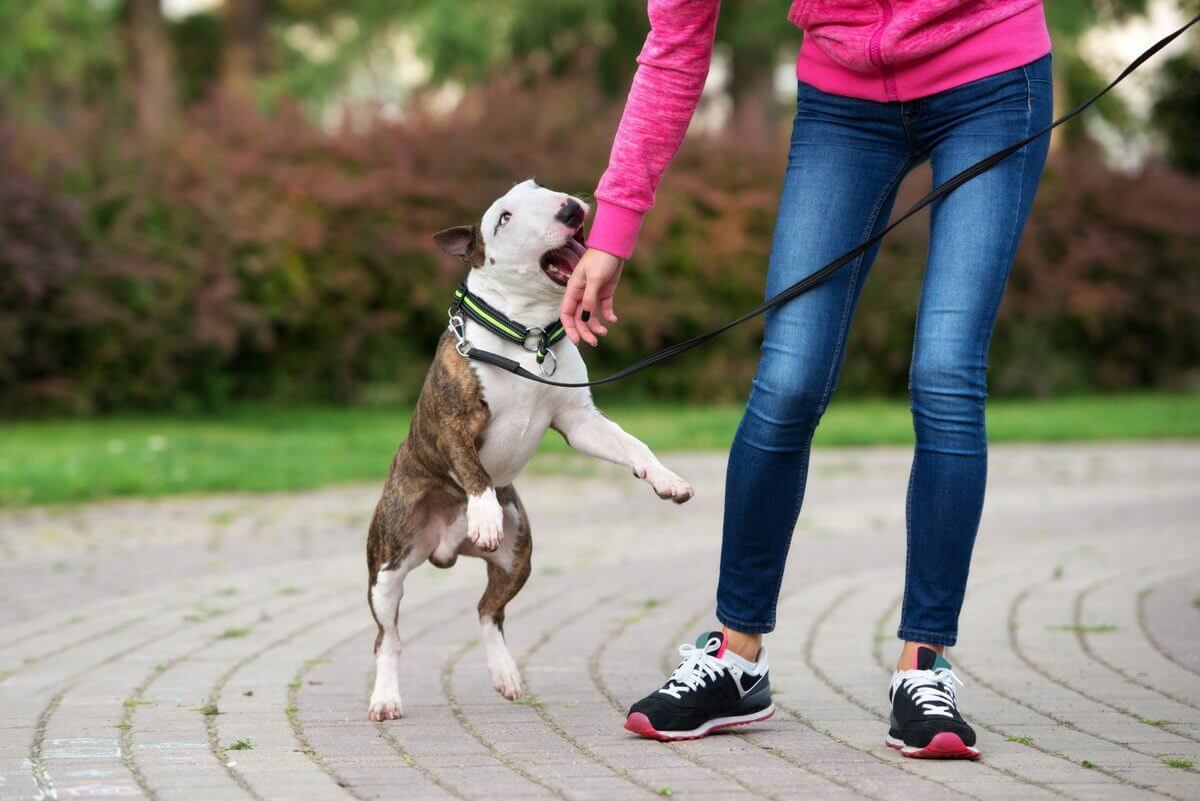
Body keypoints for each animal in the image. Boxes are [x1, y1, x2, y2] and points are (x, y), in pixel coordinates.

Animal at [362, 179, 696, 719]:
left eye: (541, 188)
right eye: (504, 217)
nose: (569, 208)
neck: (527, 335)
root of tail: (445, 547)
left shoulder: (579, 420)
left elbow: (633, 445)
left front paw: (666, 479)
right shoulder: (454, 422)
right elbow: (472, 470)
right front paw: (483, 514)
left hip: (519, 555)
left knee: (487, 613)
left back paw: (505, 675)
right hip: (387, 569)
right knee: (387, 638)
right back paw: (386, 698)